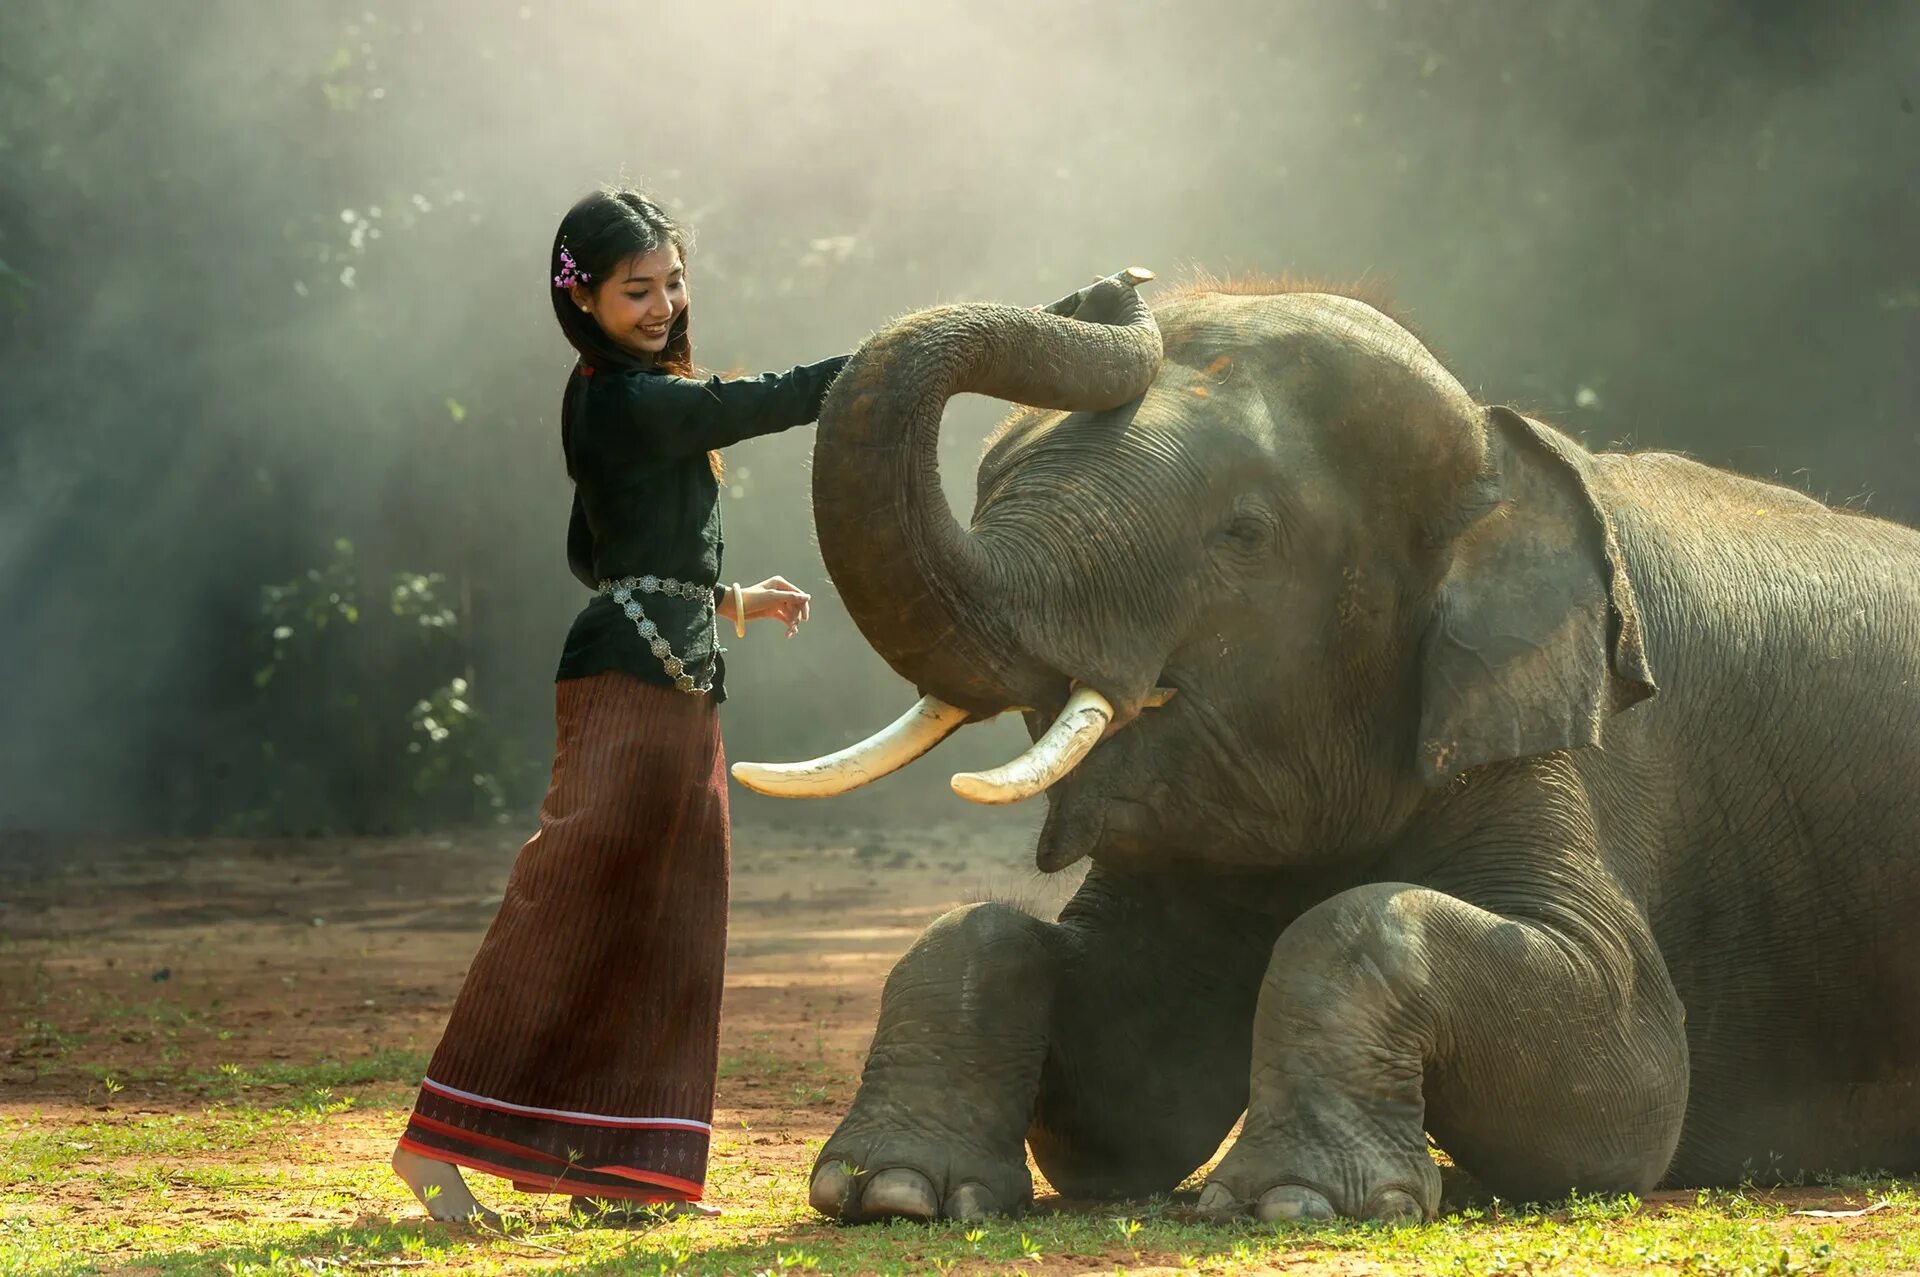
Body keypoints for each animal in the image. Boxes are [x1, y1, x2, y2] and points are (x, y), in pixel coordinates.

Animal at [729, 261, 1920, 1228]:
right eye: (987, 486)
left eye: (1244, 533)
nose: (1114, 284)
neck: (1502, 449)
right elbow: (1126, 1088)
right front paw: (891, 1193)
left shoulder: (1553, 734)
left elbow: (1627, 1077)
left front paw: (1296, 1202)